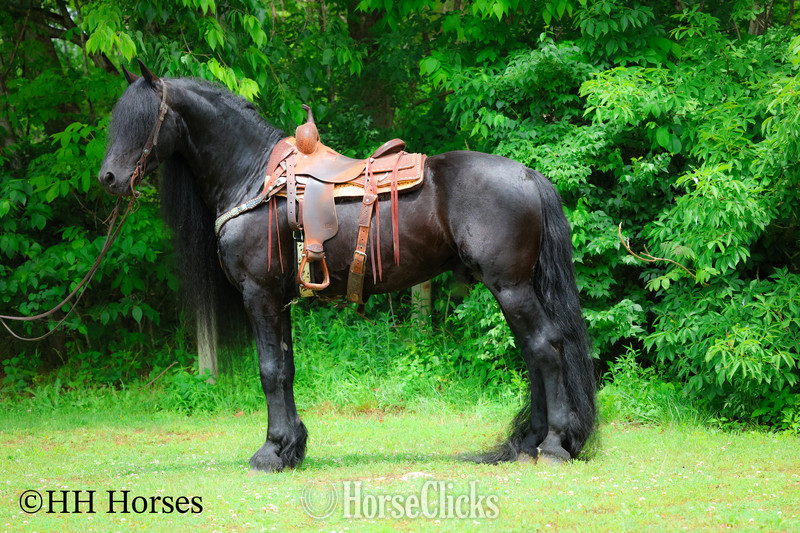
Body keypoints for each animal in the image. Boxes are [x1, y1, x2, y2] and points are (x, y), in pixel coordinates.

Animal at [98, 62, 596, 472]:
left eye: (144, 120)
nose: (109, 178)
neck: (255, 177)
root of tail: (529, 176)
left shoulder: (259, 294)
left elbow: (269, 370)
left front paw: (270, 452)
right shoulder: (280, 301)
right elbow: (286, 368)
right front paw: (291, 448)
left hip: (510, 287)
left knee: (545, 348)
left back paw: (553, 445)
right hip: (512, 289)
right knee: (533, 352)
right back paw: (530, 443)